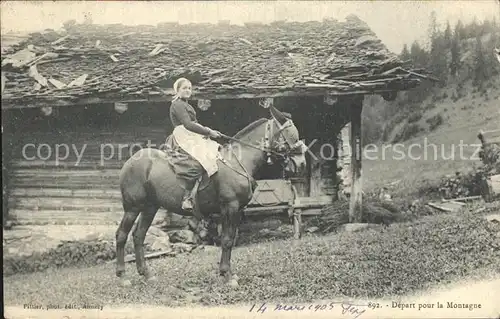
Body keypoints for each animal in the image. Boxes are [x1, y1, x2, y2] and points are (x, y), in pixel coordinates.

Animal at [115, 105, 306, 288]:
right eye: (290, 134)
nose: (301, 163)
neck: (237, 161)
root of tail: (130, 162)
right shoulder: (230, 207)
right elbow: (227, 240)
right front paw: (227, 275)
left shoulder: (237, 211)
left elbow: (231, 239)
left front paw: (228, 273)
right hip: (132, 208)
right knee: (121, 235)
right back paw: (122, 277)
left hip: (149, 208)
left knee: (138, 235)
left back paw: (146, 274)